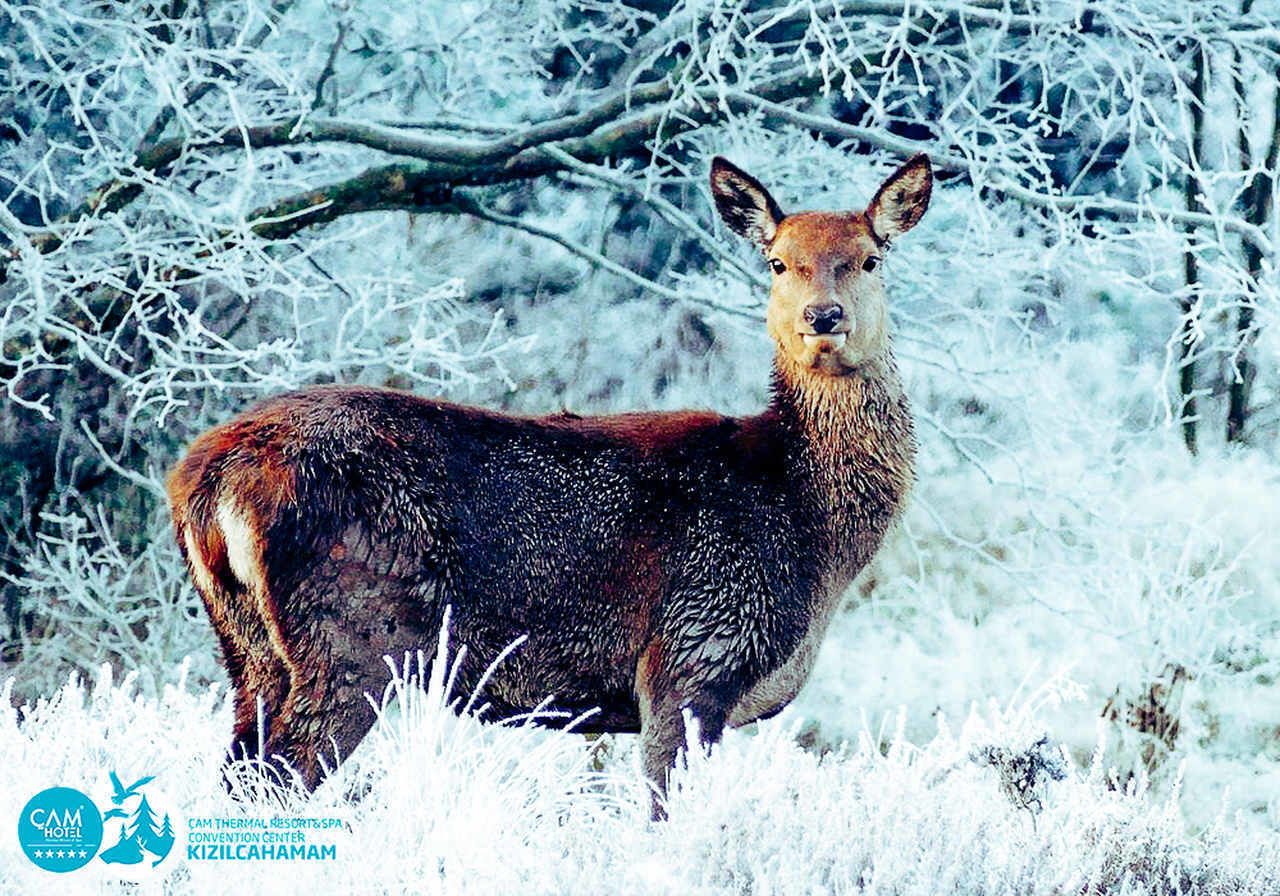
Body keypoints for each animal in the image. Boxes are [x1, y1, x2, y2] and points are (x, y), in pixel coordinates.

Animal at [166, 154, 931, 817]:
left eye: (870, 258)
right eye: (778, 262)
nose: (823, 317)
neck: (807, 527)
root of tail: (204, 480)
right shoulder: (691, 656)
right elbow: (664, 814)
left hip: (248, 651)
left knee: (235, 776)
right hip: (353, 634)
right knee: (277, 781)